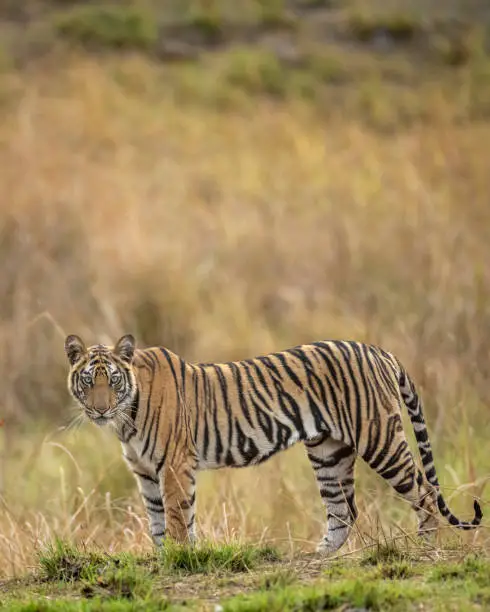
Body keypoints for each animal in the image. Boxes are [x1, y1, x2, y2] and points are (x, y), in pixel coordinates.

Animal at [64, 334, 482, 556]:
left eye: (112, 380)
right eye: (87, 381)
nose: (99, 408)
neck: (125, 419)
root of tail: (379, 350)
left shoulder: (174, 466)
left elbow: (178, 517)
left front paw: (180, 558)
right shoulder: (146, 472)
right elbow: (157, 521)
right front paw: (165, 557)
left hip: (379, 438)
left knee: (424, 492)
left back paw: (424, 548)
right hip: (328, 452)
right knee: (343, 511)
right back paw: (319, 557)